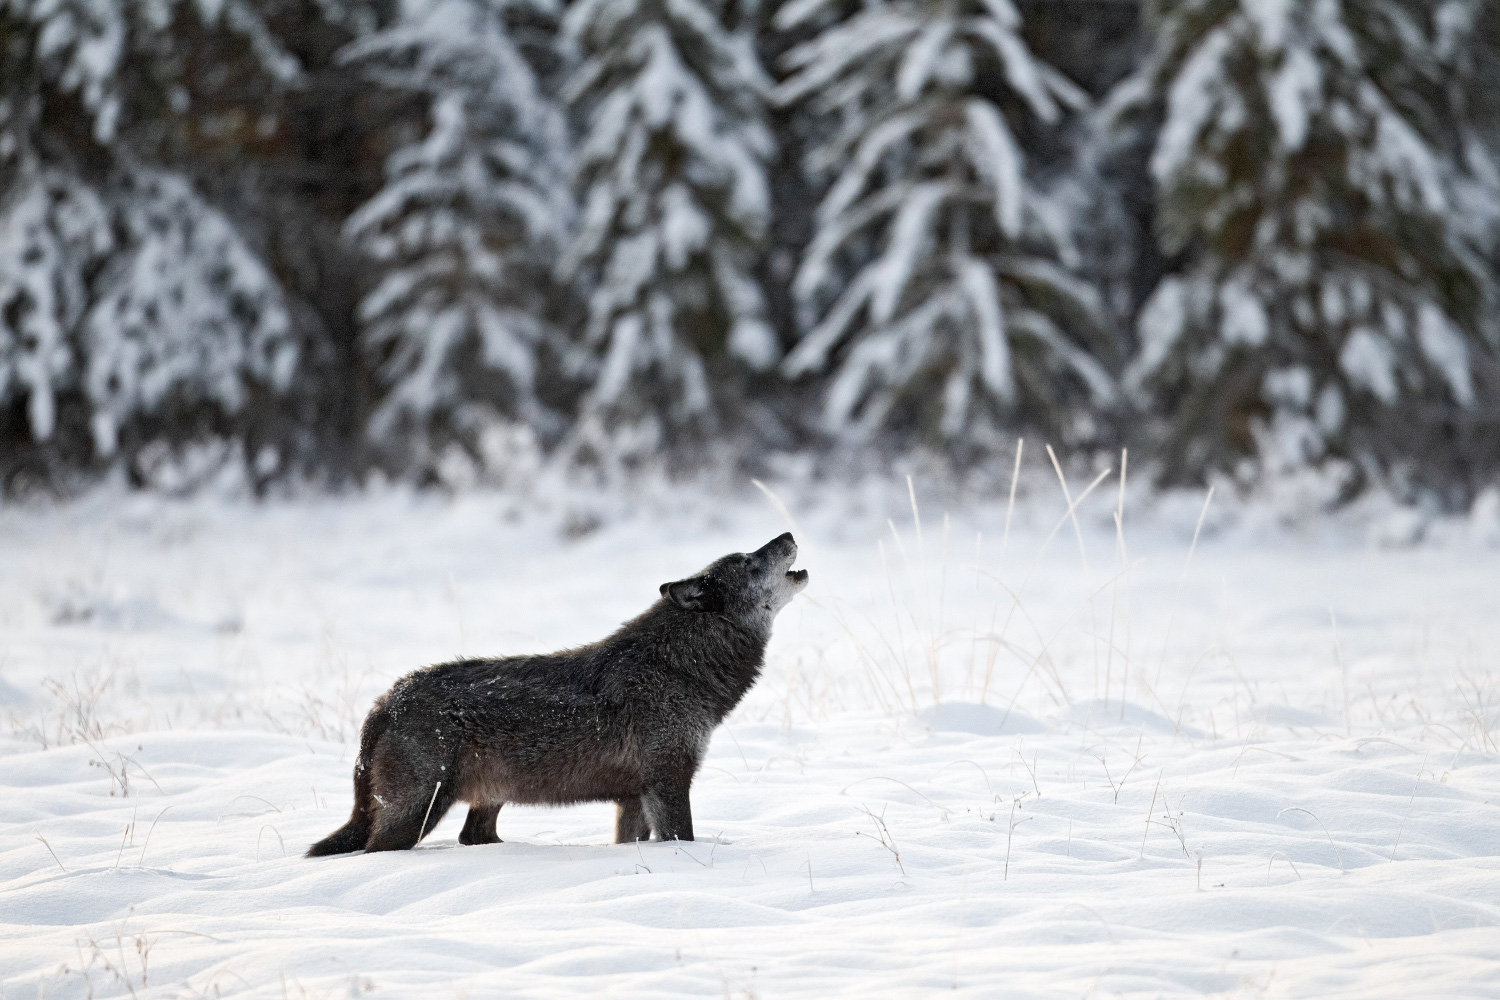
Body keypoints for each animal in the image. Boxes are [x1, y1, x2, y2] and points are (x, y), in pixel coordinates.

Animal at [303, 527, 810, 857]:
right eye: (748, 562)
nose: (787, 532)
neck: (679, 667)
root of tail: (386, 702)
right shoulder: (668, 781)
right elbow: (681, 840)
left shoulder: (633, 797)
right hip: (419, 812)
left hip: (484, 803)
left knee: (473, 838)